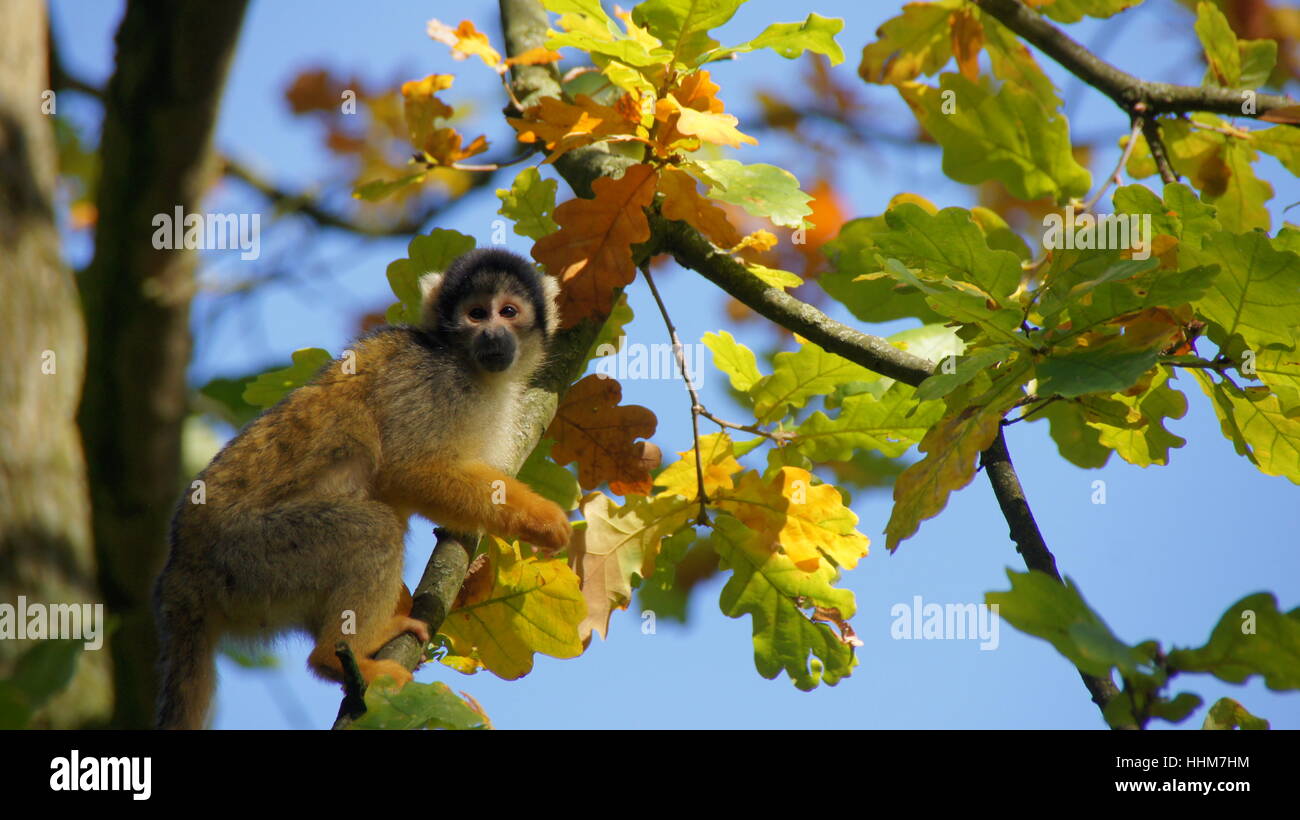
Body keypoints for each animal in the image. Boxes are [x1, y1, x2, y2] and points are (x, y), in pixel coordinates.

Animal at [153, 246, 569, 727]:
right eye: (477, 313)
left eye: (509, 312)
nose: (493, 333)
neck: (464, 363)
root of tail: (179, 577)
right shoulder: (433, 383)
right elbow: (407, 471)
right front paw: (545, 520)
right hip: (246, 557)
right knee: (372, 529)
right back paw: (334, 659)